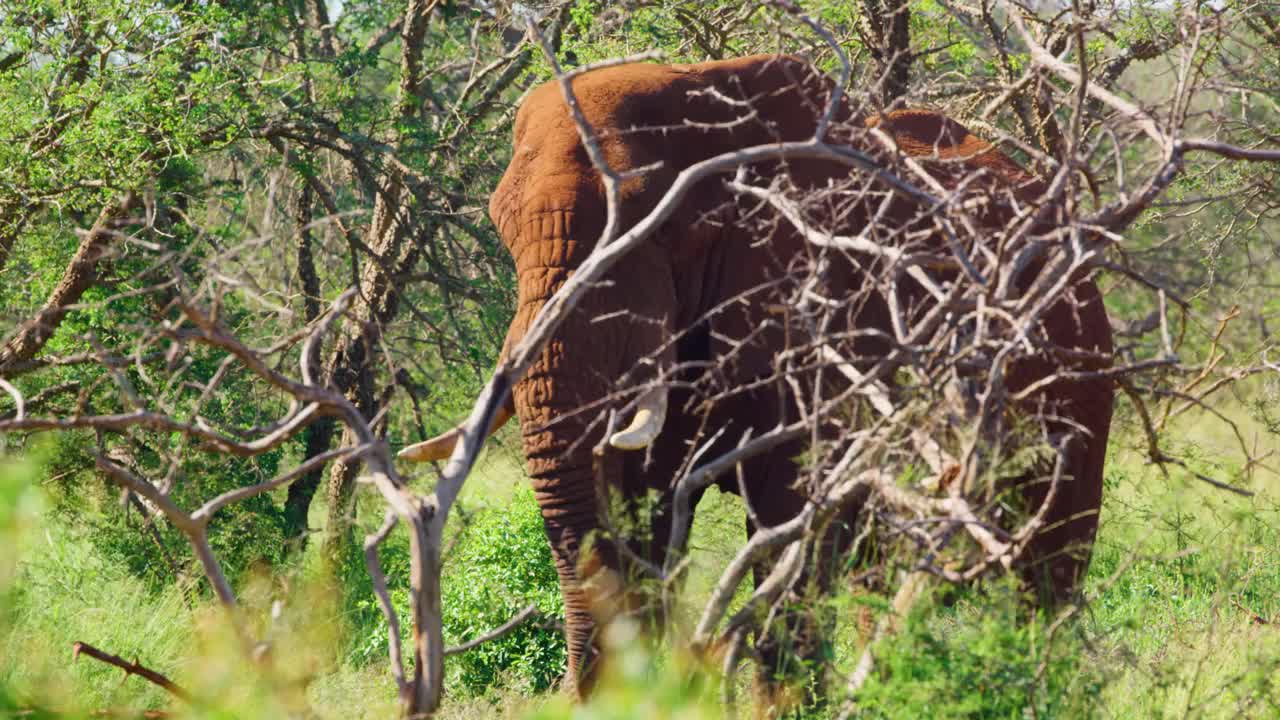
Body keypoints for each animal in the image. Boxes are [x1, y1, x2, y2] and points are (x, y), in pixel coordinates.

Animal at [399, 53, 1111, 691]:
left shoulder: (825, 298)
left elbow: (787, 516)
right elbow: (647, 515)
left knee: (1051, 558)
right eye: (501, 227)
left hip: (1078, 364)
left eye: (654, 227)